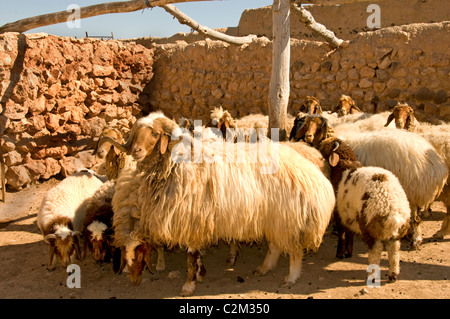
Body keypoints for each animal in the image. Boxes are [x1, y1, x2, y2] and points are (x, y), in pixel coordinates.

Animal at [106, 113, 338, 298]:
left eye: (154, 134)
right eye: (137, 133)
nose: (136, 151)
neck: (175, 166)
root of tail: (315, 175)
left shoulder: (192, 221)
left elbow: (190, 258)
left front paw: (189, 285)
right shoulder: (198, 224)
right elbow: (197, 256)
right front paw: (200, 275)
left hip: (289, 219)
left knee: (294, 251)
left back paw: (291, 277)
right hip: (274, 219)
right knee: (275, 246)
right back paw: (264, 268)